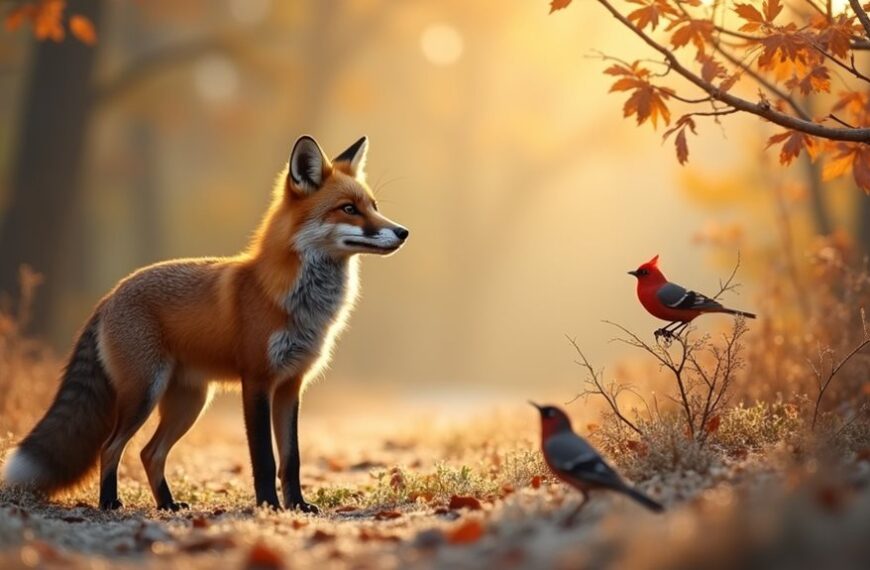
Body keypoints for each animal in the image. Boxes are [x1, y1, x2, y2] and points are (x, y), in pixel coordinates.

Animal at [1, 135, 408, 512]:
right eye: (348, 209)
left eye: (373, 207)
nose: (403, 232)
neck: (298, 301)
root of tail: (111, 294)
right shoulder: (257, 380)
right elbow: (265, 458)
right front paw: (268, 506)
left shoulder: (291, 384)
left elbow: (291, 459)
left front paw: (297, 506)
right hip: (144, 394)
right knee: (110, 447)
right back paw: (109, 503)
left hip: (190, 402)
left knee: (149, 453)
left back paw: (167, 505)